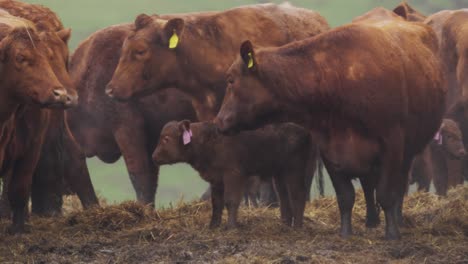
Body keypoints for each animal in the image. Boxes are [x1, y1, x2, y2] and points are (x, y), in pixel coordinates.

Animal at [152, 121, 316, 227]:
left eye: (166, 138)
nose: (153, 156)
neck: (209, 140)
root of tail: (305, 132)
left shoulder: (233, 176)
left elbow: (231, 201)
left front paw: (231, 226)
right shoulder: (216, 179)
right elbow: (216, 202)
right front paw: (213, 225)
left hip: (294, 171)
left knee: (298, 194)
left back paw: (297, 226)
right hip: (279, 174)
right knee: (284, 196)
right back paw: (285, 223)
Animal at [216, 8, 446, 239]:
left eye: (230, 80)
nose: (219, 121)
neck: (340, 79)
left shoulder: (392, 144)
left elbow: (387, 193)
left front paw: (392, 233)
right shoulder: (330, 150)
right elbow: (345, 196)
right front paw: (345, 233)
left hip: (408, 150)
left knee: (398, 185)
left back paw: (396, 219)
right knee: (368, 184)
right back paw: (371, 220)